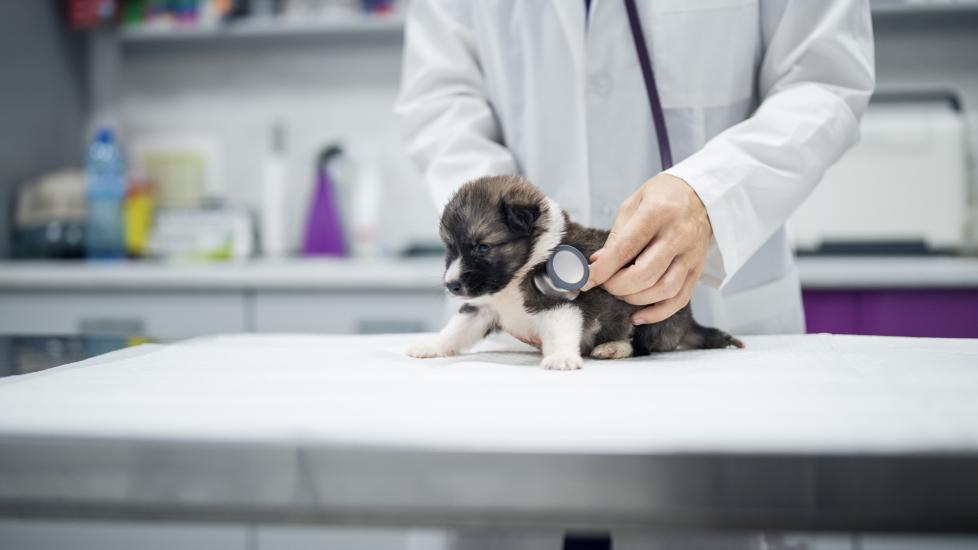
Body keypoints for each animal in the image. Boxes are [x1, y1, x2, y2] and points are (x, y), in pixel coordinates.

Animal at [404, 177, 740, 370]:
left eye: (482, 247)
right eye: (449, 248)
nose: (452, 285)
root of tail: (688, 320)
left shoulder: (558, 305)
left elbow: (560, 332)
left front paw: (561, 358)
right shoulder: (482, 307)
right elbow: (455, 331)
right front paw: (431, 346)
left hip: (650, 317)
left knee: (641, 346)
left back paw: (612, 347)